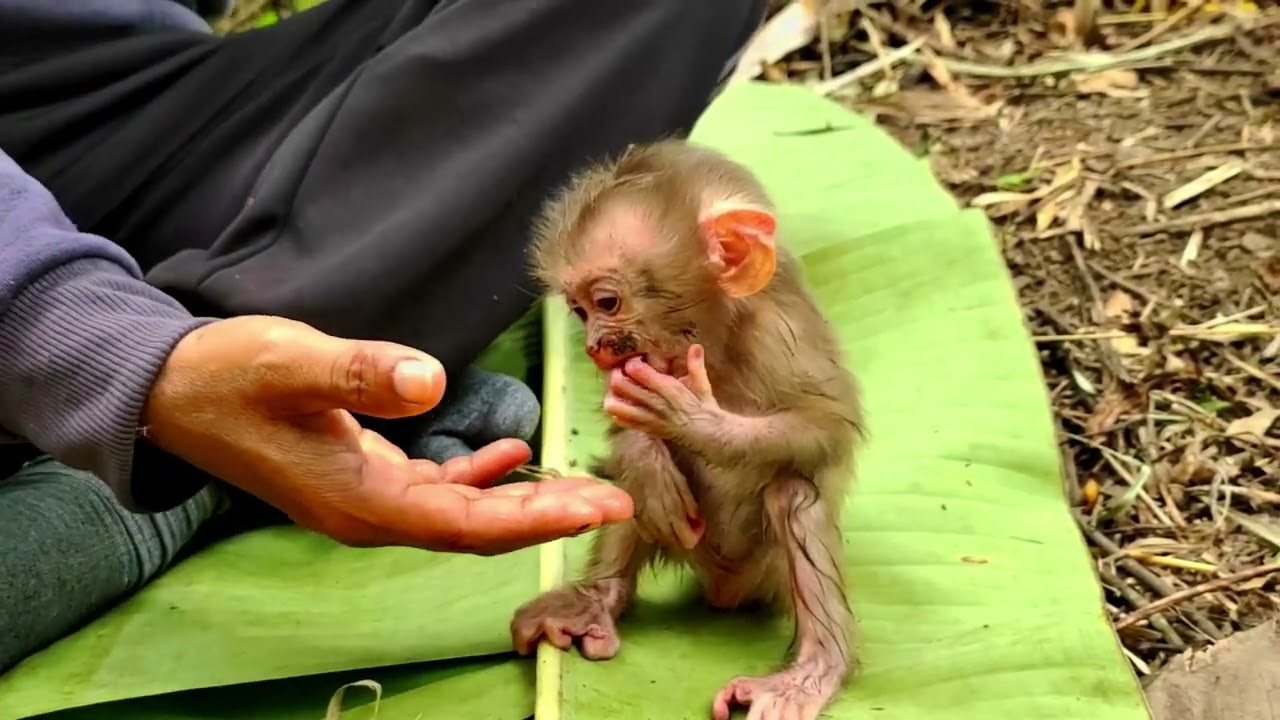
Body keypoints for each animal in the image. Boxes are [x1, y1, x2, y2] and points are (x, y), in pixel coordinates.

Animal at [510, 139, 864, 720]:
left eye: (607, 303)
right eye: (578, 312)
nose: (593, 346)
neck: (715, 342)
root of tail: (723, 590)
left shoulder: (780, 335)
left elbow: (826, 427)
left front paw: (692, 419)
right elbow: (629, 435)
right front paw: (645, 454)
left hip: (761, 570)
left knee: (794, 492)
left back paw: (812, 671)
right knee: (636, 498)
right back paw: (595, 599)